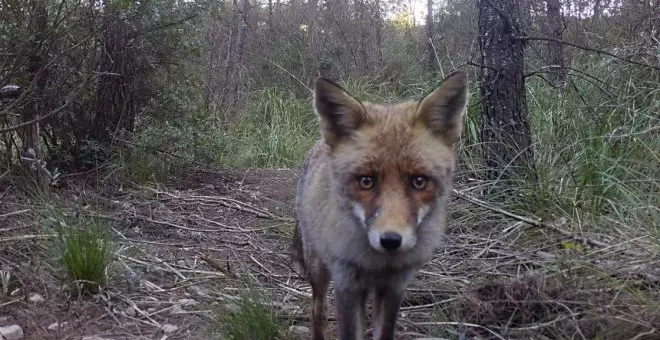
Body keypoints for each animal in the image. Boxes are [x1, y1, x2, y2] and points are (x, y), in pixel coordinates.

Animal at [292, 69, 466, 340]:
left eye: (419, 181)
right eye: (366, 181)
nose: (391, 241)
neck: (378, 263)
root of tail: (320, 143)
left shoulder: (394, 286)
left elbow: (384, 333)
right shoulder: (347, 284)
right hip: (319, 268)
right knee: (317, 310)